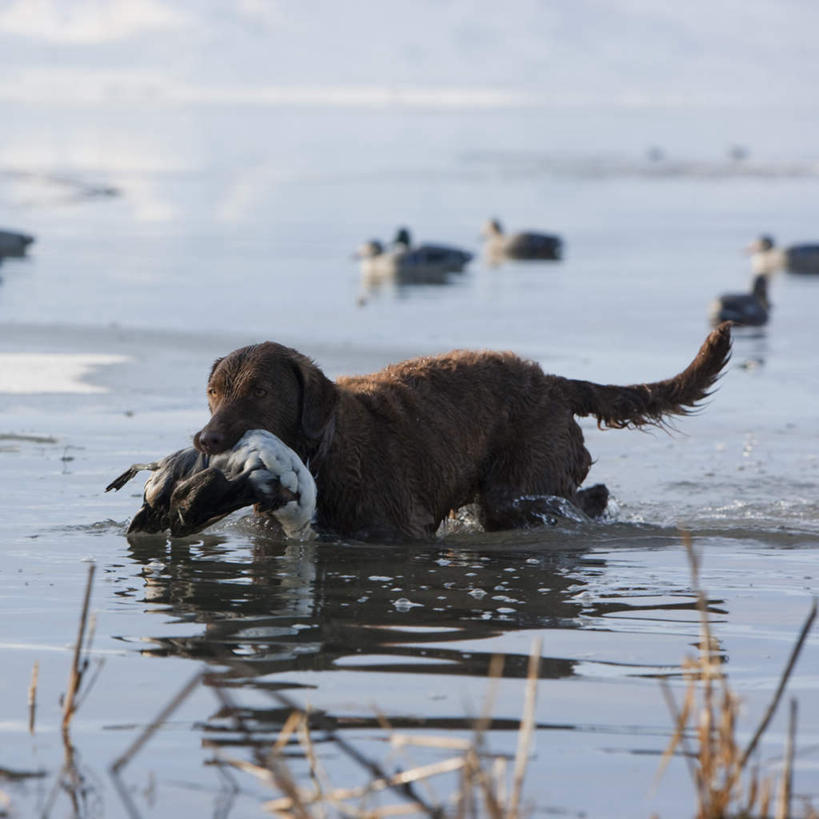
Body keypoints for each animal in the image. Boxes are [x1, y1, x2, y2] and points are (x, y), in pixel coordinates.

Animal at [195, 324, 732, 540]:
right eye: (214, 392)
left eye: (261, 391)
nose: (206, 441)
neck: (326, 451)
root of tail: (553, 382)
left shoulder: (401, 529)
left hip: (519, 486)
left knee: (576, 499)